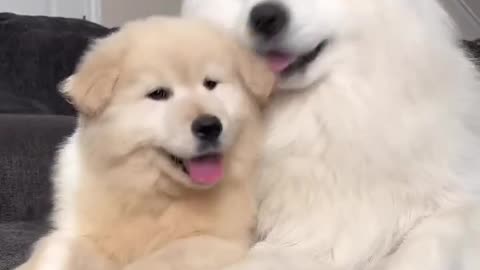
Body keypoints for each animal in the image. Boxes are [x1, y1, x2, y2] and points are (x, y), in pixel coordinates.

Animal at [15, 16, 276, 270]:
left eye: (211, 84)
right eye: (158, 94)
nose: (210, 126)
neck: (154, 194)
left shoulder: (221, 242)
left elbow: (167, 256)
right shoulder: (79, 232)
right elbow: (58, 249)